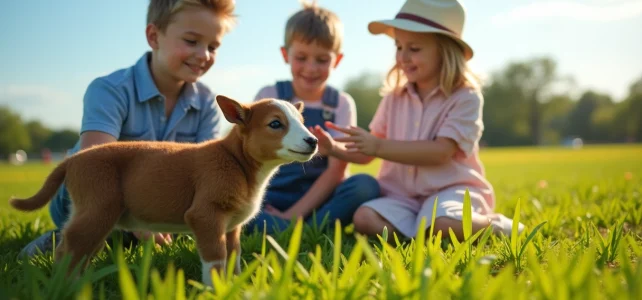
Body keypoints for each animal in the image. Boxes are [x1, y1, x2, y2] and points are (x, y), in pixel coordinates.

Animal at [8, 95, 318, 284]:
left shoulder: (231, 226)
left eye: (302, 122)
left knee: (79, 249)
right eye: (275, 124)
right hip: (97, 210)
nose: (313, 140)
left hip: (95, 218)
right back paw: (66, 286)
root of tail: (72, 160)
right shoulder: (205, 217)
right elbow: (215, 259)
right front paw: (215, 289)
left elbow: (233, 257)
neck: (236, 160)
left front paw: (235, 285)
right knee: (67, 249)